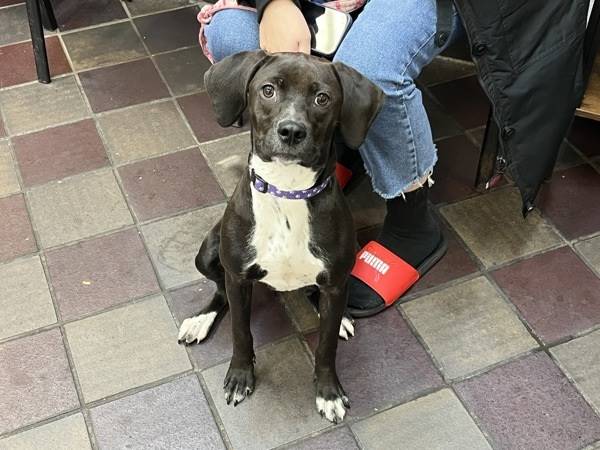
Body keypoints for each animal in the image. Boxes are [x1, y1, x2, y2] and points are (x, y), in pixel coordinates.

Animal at [179, 51, 384, 424]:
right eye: (268, 90)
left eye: (322, 98)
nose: (291, 130)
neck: (288, 190)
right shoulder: (238, 277)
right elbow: (241, 332)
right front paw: (240, 376)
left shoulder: (336, 280)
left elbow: (326, 345)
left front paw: (329, 392)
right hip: (208, 254)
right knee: (220, 291)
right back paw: (201, 319)